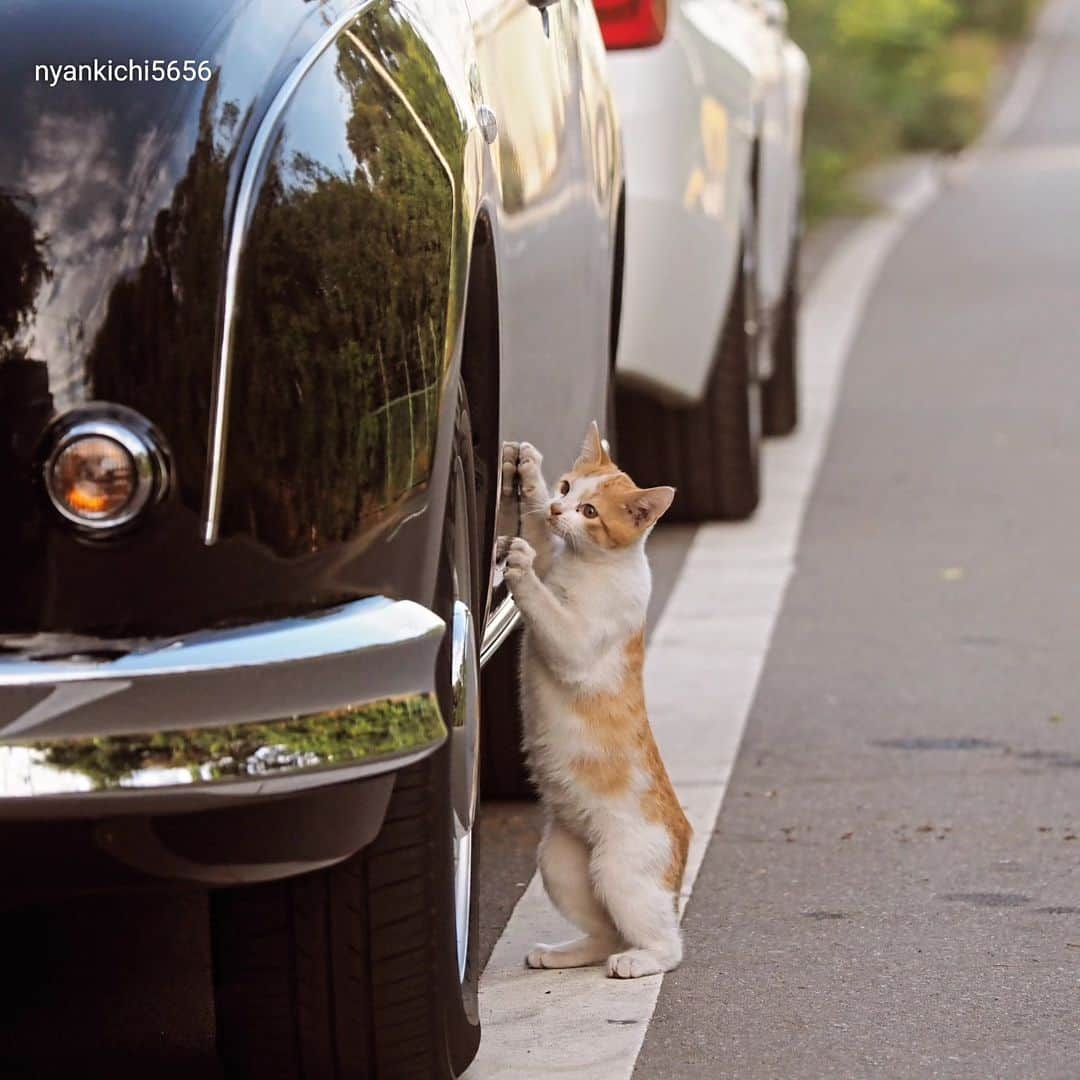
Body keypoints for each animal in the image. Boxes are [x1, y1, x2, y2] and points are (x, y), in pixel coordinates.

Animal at [496, 421, 691, 980]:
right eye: (566, 489)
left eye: (589, 511)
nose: (559, 508)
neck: (588, 565)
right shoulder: (553, 555)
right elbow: (540, 541)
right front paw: (526, 474)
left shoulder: (577, 643)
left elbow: (545, 606)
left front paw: (521, 567)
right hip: (560, 863)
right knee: (604, 932)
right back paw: (563, 954)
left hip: (619, 870)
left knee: (664, 943)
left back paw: (639, 961)